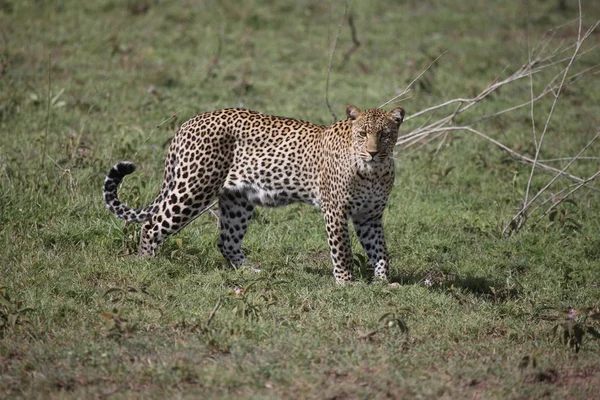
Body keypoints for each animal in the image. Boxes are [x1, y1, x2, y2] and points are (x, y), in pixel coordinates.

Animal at [103, 104, 406, 282]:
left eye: (386, 134)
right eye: (362, 133)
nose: (373, 152)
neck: (374, 171)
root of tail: (190, 122)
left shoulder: (370, 216)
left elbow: (380, 249)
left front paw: (383, 283)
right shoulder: (336, 211)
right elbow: (342, 250)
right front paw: (346, 284)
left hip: (237, 200)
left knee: (225, 241)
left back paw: (251, 271)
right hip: (194, 187)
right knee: (152, 225)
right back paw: (145, 265)